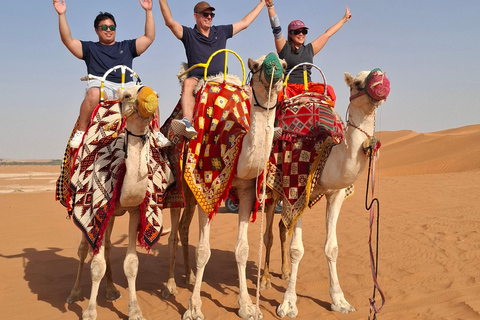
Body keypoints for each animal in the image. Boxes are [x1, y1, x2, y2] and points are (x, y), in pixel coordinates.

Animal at [63, 85, 169, 320]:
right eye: (128, 96)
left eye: (157, 95)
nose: (151, 98)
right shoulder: (95, 209)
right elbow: (96, 265)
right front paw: (90, 312)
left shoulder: (135, 210)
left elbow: (131, 263)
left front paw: (135, 310)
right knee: (83, 249)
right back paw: (73, 294)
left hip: (110, 215)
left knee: (109, 245)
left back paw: (111, 290)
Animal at [258, 68, 390, 318]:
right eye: (357, 83)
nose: (381, 81)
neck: (328, 154)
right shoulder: (297, 189)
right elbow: (297, 249)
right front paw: (288, 304)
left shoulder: (335, 194)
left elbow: (332, 248)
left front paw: (340, 301)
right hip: (271, 190)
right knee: (268, 234)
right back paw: (265, 280)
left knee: (282, 227)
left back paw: (285, 272)